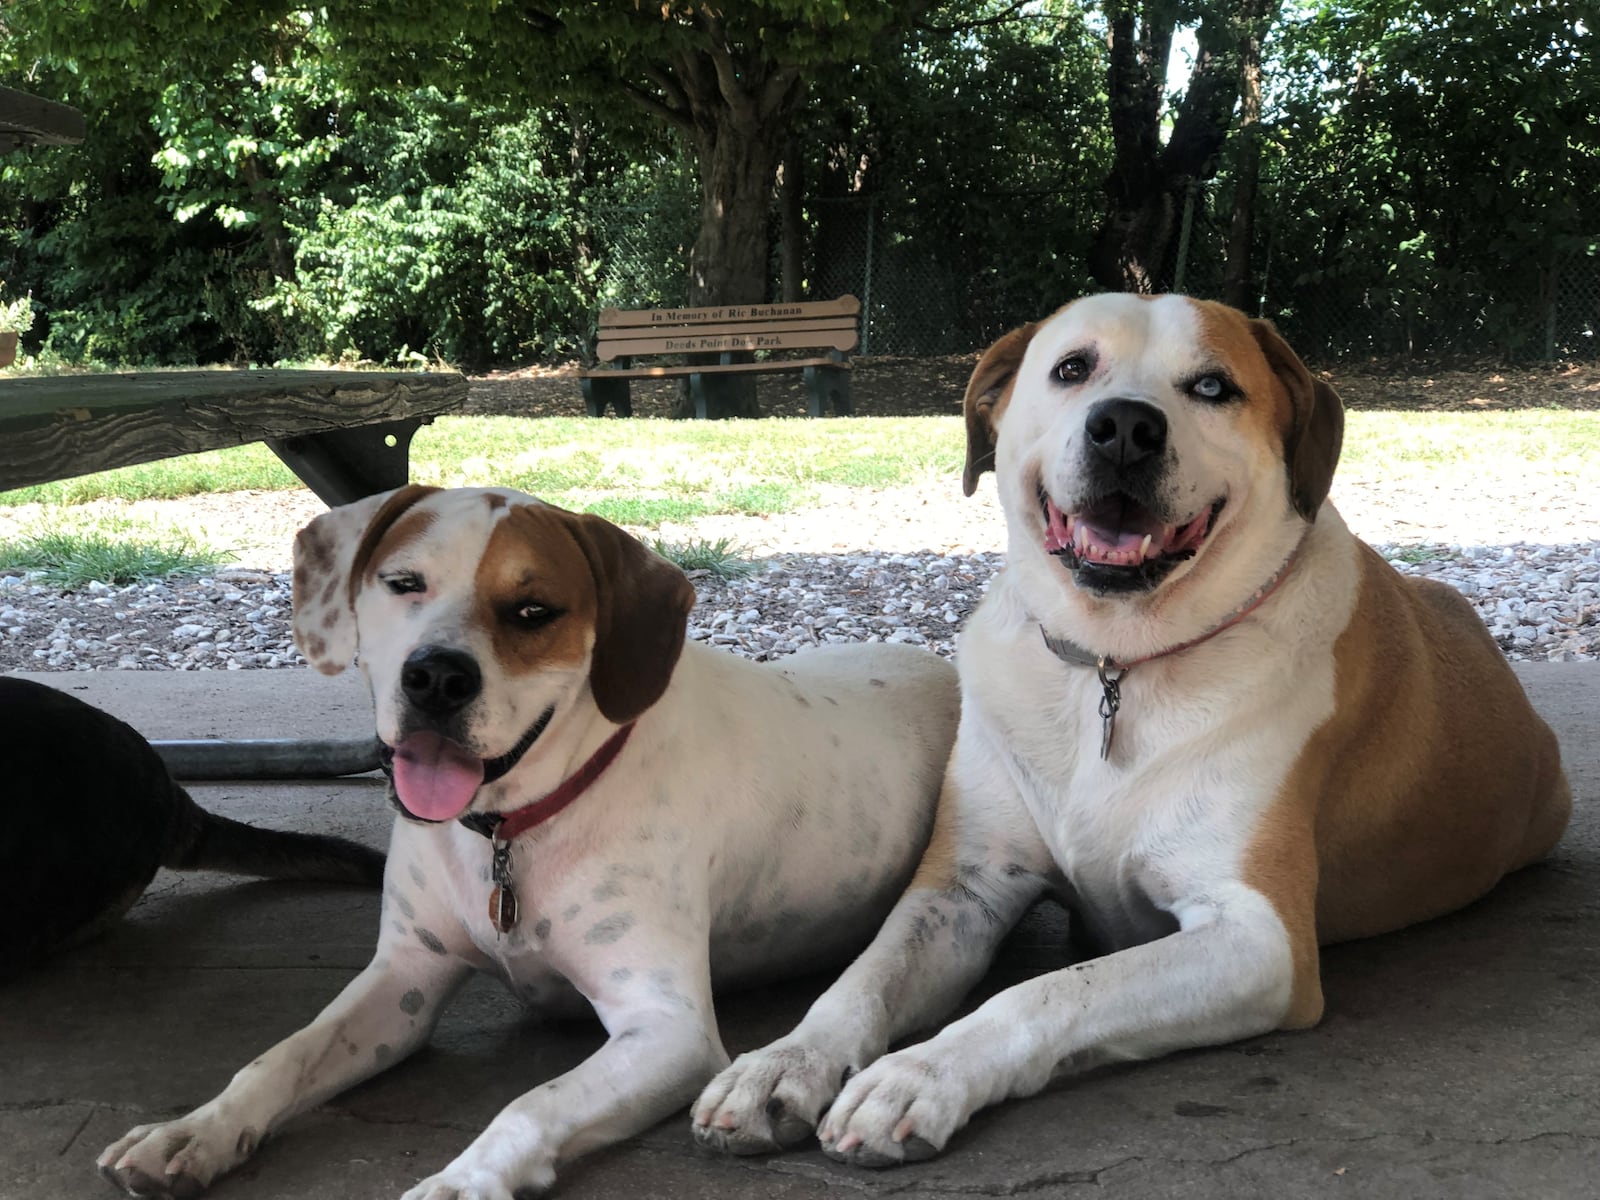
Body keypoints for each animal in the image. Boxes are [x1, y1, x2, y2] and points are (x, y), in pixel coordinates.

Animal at [100, 489, 960, 1200]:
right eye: (403, 583)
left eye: (533, 610)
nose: (437, 677)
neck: (510, 832)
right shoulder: (403, 982)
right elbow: (280, 1055)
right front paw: (195, 1130)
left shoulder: (668, 1029)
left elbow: (529, 1104)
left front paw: (458, 1183)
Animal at [694, 294, 1568, 1177]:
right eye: (1072, 368)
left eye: (1213, 386)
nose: (1124, 428)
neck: (1115, 664)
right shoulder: (963, 887)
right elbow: (861, 979)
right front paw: (779, 1064)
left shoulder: (1258, 939)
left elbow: (1045, 990)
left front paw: (917, 1077)